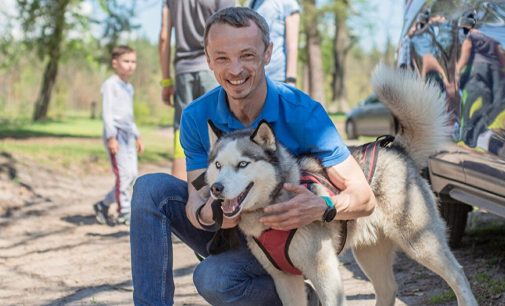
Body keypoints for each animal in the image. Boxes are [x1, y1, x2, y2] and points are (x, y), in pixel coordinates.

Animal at [205, 66, 476, 306]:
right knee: (388, 290)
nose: (215, 189)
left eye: (242, 164)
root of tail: (396, 149)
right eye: (218, 165)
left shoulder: (324, 271)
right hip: (370, 253)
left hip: (420, 242)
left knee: (458, 273)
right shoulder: (284, 279)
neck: (275, 201)